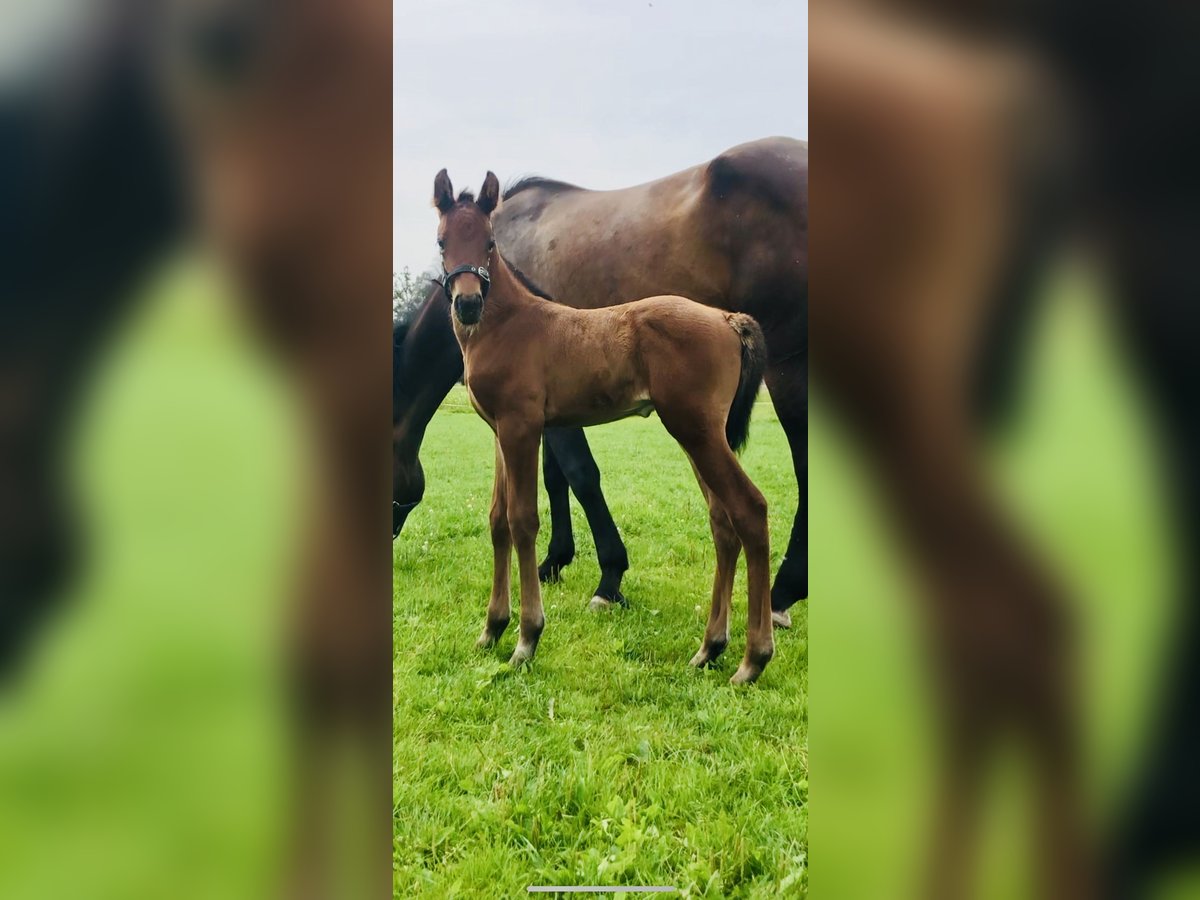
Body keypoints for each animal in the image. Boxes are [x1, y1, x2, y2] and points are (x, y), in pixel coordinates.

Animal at [396, 137, 806, 628]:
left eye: (490, 243)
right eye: (440, 242)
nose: (468, 305)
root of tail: (729, 321)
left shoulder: (533, 418)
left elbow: (575, 478)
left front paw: (606, 581)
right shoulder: (532, 419)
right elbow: (546, 484)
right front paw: (555, 562)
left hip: (778, 375)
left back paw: (779, 599)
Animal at [436, 169, 772, 686]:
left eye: (490, 243)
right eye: (441, 242)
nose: (468, 304)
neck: (508, 324)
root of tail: (726, 318)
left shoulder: (521, 427)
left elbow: (522, 520)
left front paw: (526, 639)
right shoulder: (497, 432)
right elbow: (496, 521)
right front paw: (491, 629)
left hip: (697, 431)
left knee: (750, 510)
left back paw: (752, 659)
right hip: (700, 434)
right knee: (723, 522)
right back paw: (709, 648)